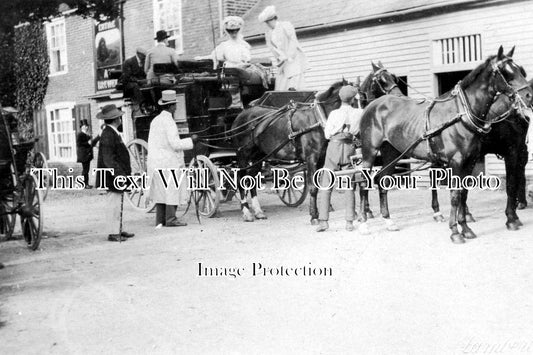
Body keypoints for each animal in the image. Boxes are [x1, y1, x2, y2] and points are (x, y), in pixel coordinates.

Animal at [232, 79, 352, 224]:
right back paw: (246, 212)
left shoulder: (321, 159)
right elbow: (313, 187)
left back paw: (258, 211)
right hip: (242, 154)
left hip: (258, 155)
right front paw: (314, 216)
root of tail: (241, 115)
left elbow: (322, 185)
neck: (317, 120)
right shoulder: (311, 158)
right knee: (241, 178)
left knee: (252, 178)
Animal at [358, 46, 532, 243]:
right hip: (369, 152)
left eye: (521, 70)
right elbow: (456, 195)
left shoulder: (471, 161)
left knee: (383, 180)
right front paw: (455, 231)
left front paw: (465, 228)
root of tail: (374, 105)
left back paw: (388, 221)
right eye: (506, 72)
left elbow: (463, 192)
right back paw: (363, 223)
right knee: (364, 182)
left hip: (392, 153)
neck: (461, 113)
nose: (528, 96)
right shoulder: (459, 161)